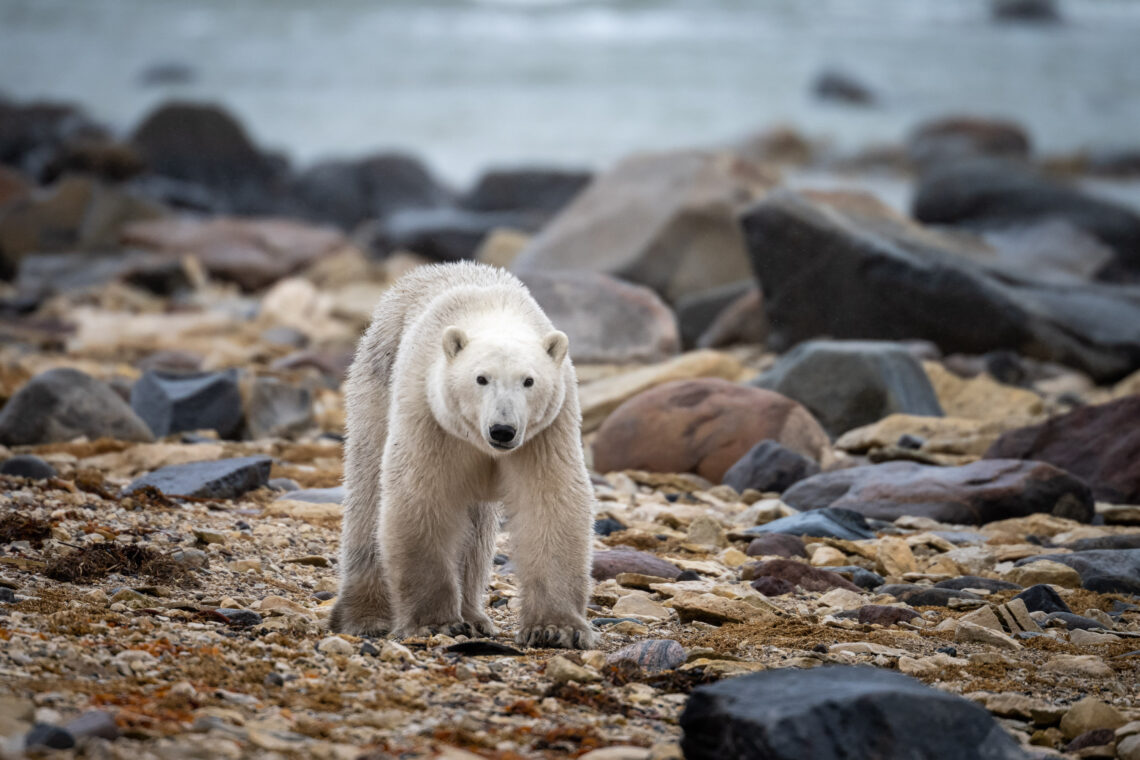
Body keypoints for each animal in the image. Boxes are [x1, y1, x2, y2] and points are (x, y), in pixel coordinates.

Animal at [328, 259, 597, 647]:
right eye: (481, 378)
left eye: (529, 380)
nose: (502, 429)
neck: (494, 310)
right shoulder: (428, 412)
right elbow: (422, 496)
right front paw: (435, 623)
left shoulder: (548, 429)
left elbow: (550, 502)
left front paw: (556, 629)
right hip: (376, 383)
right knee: (367, 494)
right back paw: (366, 617)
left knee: (476, 531)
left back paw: (474, 615)